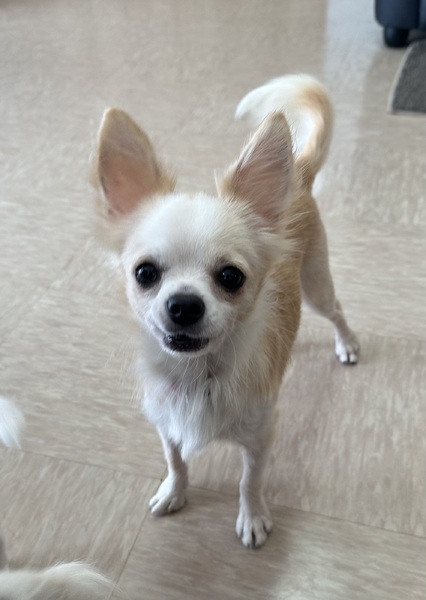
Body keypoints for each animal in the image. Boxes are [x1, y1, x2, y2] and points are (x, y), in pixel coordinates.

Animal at [92, 74, 359, 549]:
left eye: (231, 277)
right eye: (144, 273)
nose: (183, 304)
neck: (197, 375)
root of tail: (299, 173)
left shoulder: (260, 437)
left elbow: (249, 481)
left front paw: (252, 518)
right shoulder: (166, 424)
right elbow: (176, 460)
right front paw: (174, 492)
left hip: (317, 285)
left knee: (337, 311)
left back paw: (347, 344)